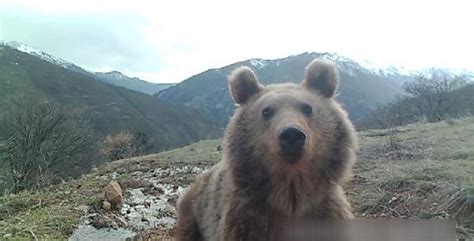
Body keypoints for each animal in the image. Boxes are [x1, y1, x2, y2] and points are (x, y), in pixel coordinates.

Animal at [176, 58, 358, 241]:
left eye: (308, 108)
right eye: (266, 111)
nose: (292, 134)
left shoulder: (327, 212)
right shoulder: (247, 219)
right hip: (194, 215)